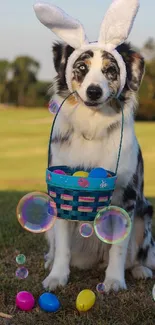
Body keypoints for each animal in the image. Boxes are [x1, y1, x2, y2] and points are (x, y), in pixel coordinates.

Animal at [42, 40, 155, 292]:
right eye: (82, 67)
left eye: (110, 70)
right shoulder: (62, 190)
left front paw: (114, 280)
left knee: (138, 255)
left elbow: (119, 248)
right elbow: (63, 246)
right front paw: (57, 276)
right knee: (55, 245)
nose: (94, 91)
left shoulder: (128, 197)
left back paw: (141, 270)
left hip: (144, 216)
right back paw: (50, 259)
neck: (92, 125)